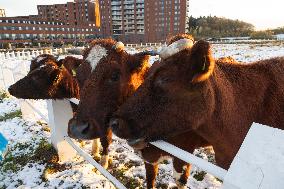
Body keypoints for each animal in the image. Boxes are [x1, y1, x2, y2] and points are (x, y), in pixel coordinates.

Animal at [67, 36, 212, 188]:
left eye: (114, 75)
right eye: (79, 76)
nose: (77, 128)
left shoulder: (184, 156)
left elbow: (180, 181)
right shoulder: (147, 156)